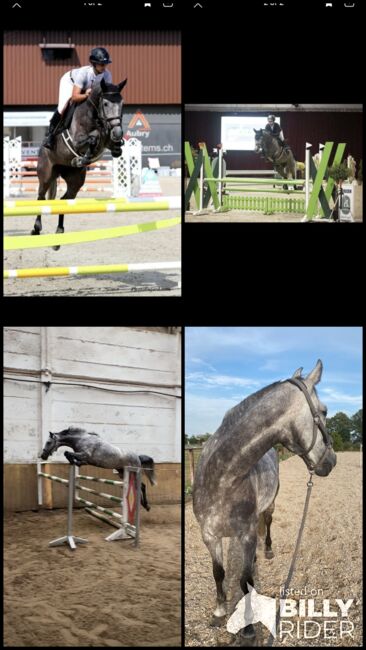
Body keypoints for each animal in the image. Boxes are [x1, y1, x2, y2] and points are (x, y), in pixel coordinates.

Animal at [31, 76, 129, 248]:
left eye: (122, 104)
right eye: (105, 104)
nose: (117, 132)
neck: (96, 116)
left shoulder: (106, 138)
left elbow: (107, 142)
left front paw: (116, 147)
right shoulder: (77, 140)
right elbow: (93, 138)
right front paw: (83, 157)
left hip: (75, 181)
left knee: (64, 200)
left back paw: (59, 234)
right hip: (46, 174)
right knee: (41, 197)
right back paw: (36, 228)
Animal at [193, 360, 336, 636]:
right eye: (324, 411)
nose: (332, 461)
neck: (223, 478)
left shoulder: (247, 534)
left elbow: (245, 579)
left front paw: (248, 625)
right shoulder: (209, 535)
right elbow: (219, 573)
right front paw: (219, 611)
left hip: (269, 506)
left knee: (267, 524)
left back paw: (267, 551)